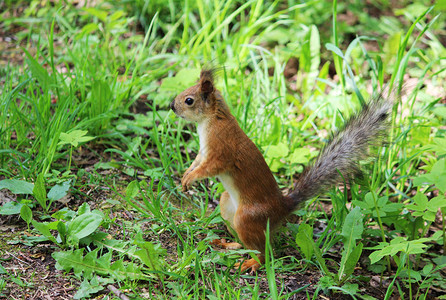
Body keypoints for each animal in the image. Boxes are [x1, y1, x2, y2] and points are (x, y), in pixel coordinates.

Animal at [169, 67, 392, 274]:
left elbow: (210, 167)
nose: (172, 106)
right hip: (227, 207)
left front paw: (190, 178)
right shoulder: (203, 152)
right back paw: (228, 244)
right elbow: (197, 162)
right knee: (248, 244)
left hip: (246, 218)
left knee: (264, 252)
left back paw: (251, 263)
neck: (213, 118)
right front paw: (186, 176)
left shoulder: (221, 150)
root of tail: (282, 208)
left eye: (189, 100)